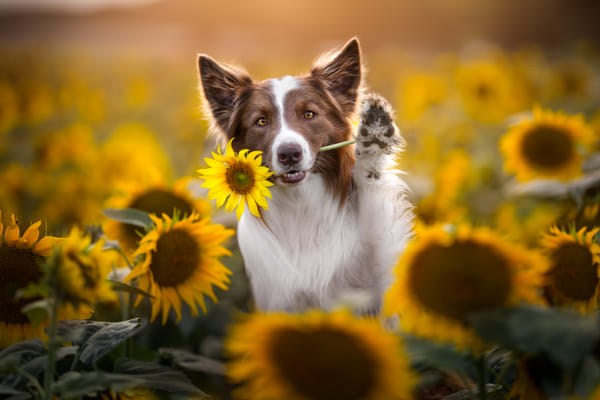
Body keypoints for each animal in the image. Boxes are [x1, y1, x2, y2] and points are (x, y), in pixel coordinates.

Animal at [197, 37, 412, 312]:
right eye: (261, 121)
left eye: (309, 114)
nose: (289, 154)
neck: (301, 207)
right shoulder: (277, 302)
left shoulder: (377, 280)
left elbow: (375, 213)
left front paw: (375, 133)